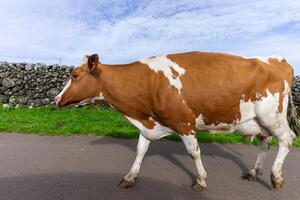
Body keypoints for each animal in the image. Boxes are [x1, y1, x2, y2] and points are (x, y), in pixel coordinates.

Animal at [55, 51, 298, 191]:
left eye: (74, 75)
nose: (56, 99)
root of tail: (278, 60)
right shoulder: (149, 123)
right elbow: (140, 150)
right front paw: (130, 177)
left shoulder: (184, 123)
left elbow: (193, 152)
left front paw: (200, 180)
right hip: (260, 121)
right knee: (265, 142)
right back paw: (254, 173)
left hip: (272, 116)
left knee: (287, 139)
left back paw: (276, 177)